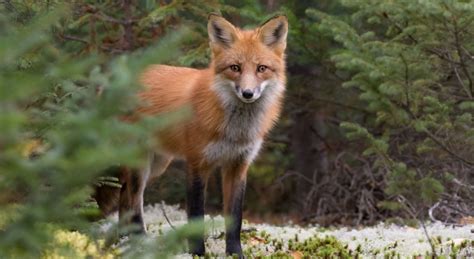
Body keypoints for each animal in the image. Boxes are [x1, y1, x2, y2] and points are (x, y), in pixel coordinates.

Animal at [94, 13, 286, 258]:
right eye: (235, 67)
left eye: (261, 68)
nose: (248, 93)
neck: (235, 131)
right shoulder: (197, 163)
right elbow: (195, 214)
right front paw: (197, 253)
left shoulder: (238, 165)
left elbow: (235, 218)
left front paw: (235, 253)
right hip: (138, 162)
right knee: (133, 201)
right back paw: (139, 242)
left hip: (156, 165)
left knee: (124, 198)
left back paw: (125, 240)